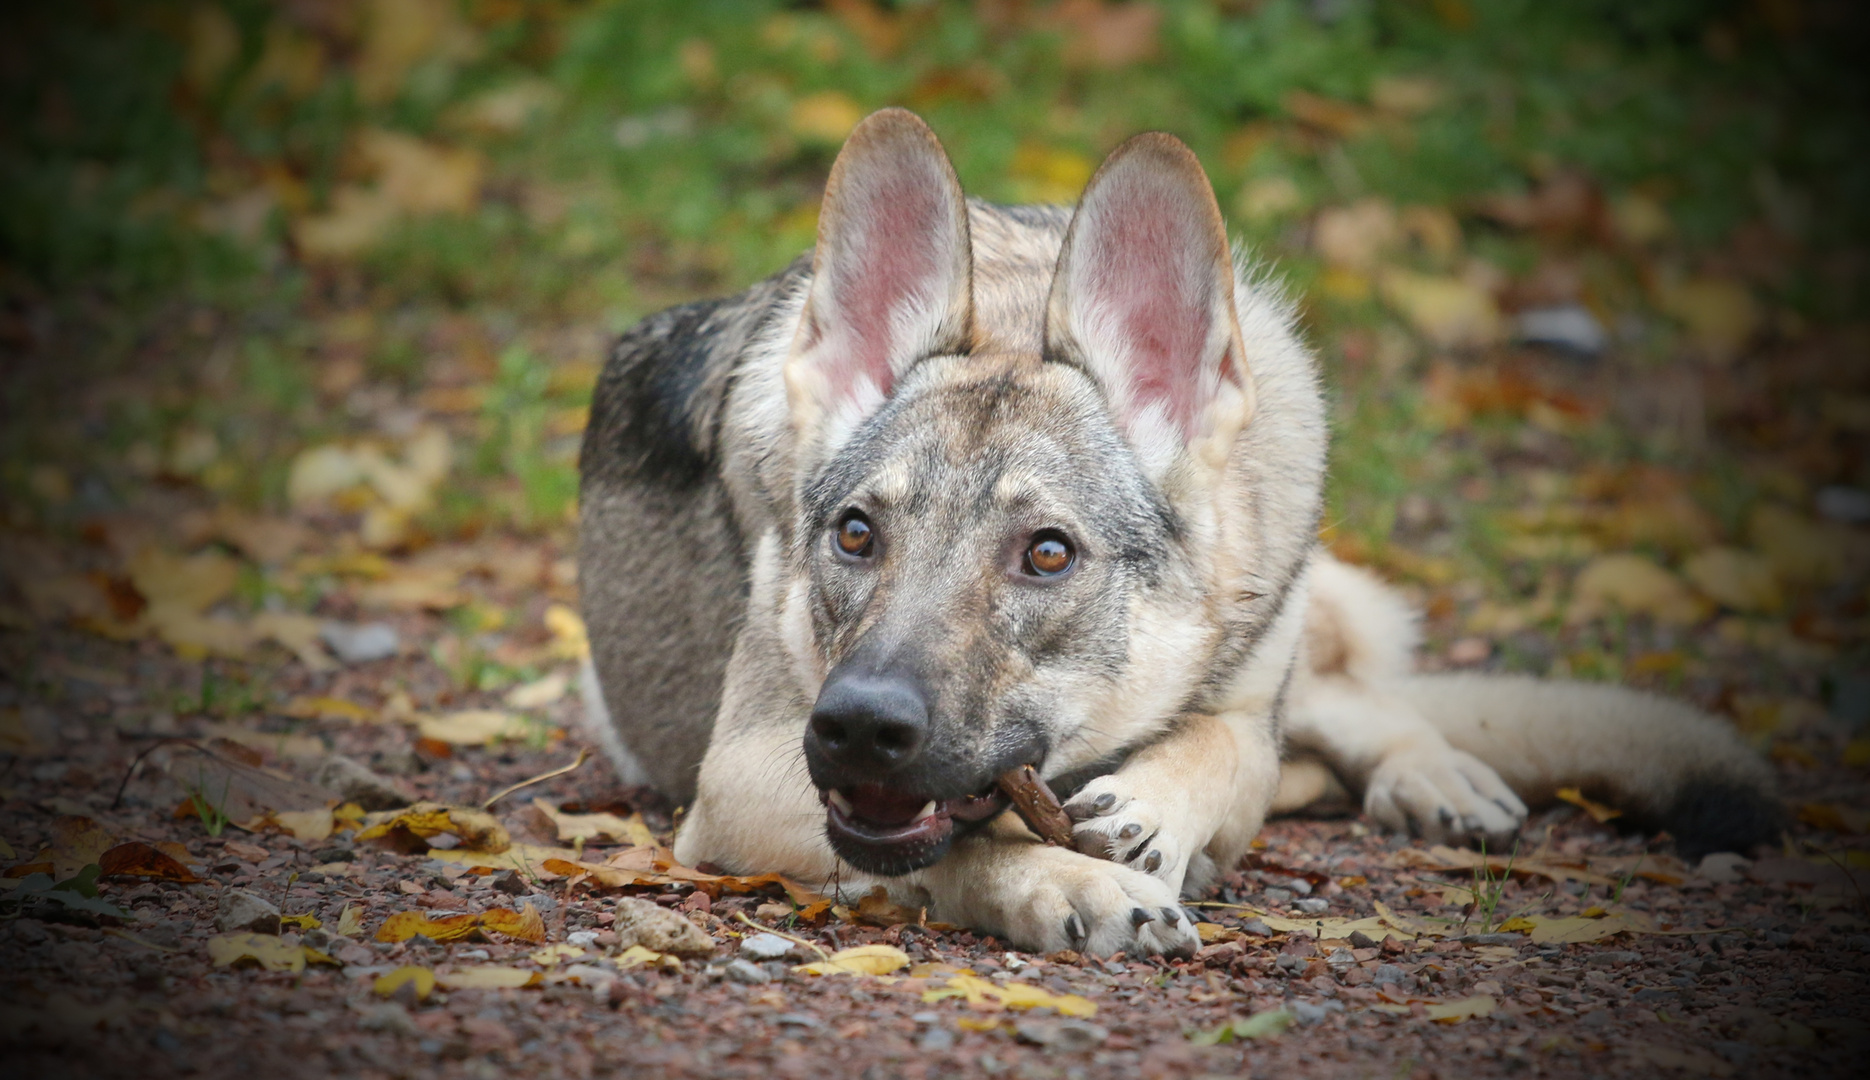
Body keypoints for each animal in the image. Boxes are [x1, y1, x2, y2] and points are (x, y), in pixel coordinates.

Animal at [575, 107, 1772, 949]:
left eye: (1047, 554)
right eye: (857, 535)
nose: (861, 725)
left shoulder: (1239, 710)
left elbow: (1218, 755)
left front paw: (1146, 814)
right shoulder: (741, 780)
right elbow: (963, 843)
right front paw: (1071, 877)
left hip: (1298, 610)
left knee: (1362, 705)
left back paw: (1433, 777)